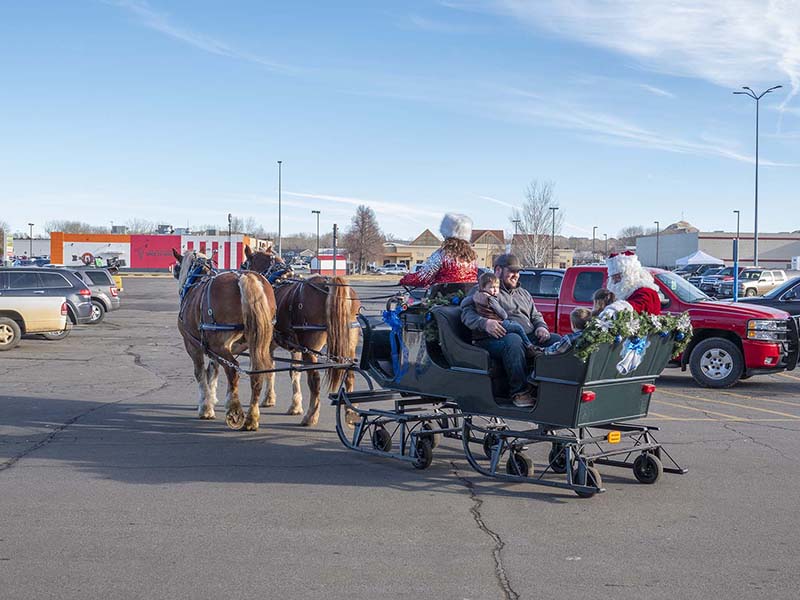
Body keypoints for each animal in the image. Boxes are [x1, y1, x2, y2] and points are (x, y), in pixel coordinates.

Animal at [173, 250, 276, 432]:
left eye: (178, 266)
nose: (174, 271)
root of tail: (244, 277)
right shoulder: (213, 349)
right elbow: (212, 371)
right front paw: (212, 399)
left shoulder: (193, 346)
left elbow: (200, 374)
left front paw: (205, 407)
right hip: (258, 343)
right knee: (258, 374)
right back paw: (252, 418)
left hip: (219, 345)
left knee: (233, 371)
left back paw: (234, 410)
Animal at [241, 245, 360, 426]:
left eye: (245, 264)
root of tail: (329, 286)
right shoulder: (294, 347)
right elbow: (294, 372)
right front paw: (295, 405)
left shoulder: (269, 344)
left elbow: (270, 368)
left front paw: (269, 398)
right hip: (348, 346)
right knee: (350, 375)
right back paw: (350, 412)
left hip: (311, 347)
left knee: (314, 379)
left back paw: (311, 415)